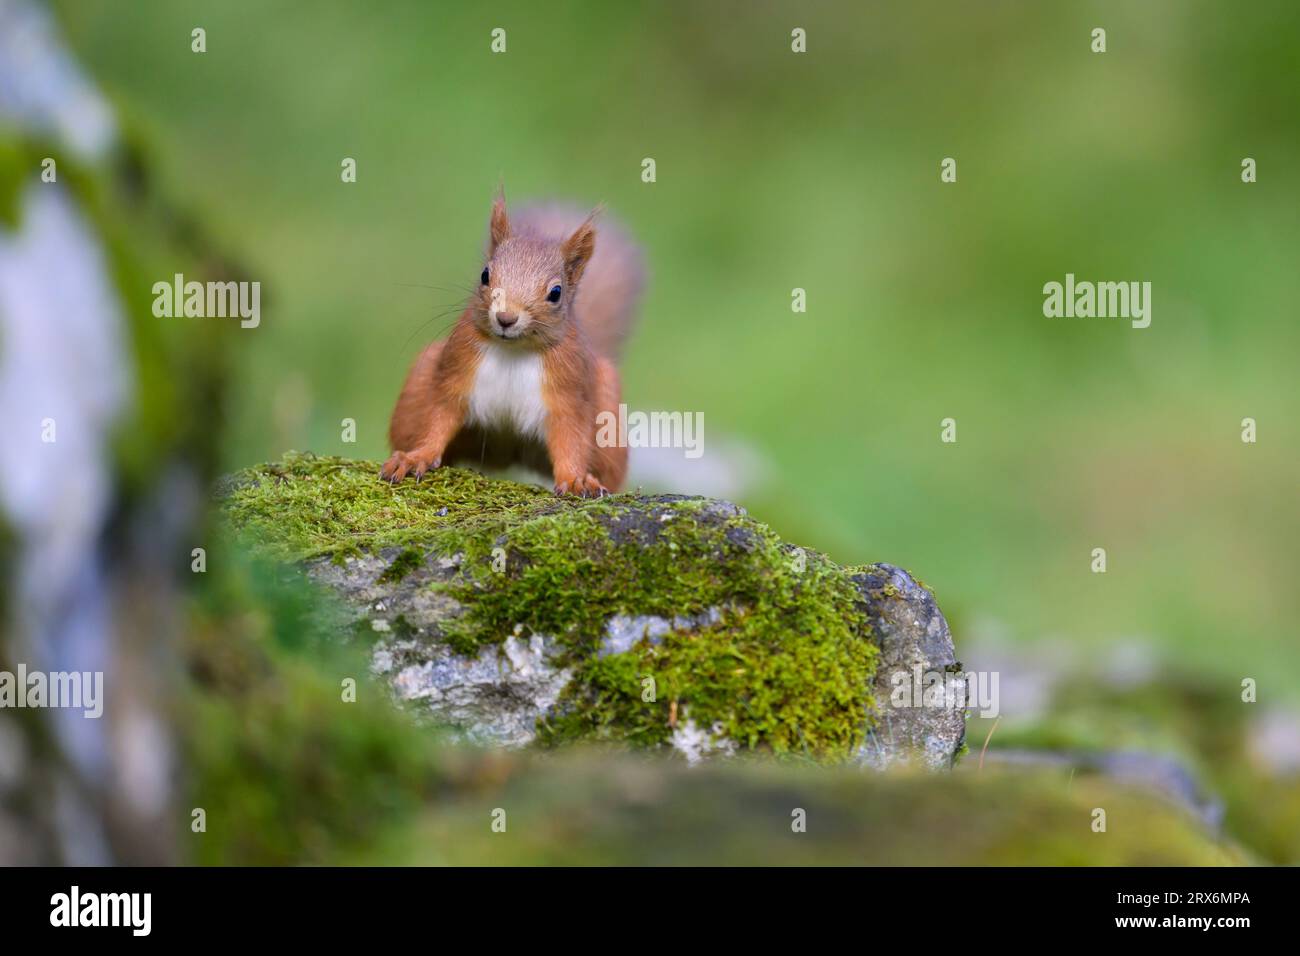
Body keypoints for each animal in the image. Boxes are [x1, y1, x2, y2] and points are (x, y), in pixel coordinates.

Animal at [382, 193, 645, 496]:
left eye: (556, 292)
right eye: (485, 274)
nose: (506, 317)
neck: (514, 350)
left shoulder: (570, 392)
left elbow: (571, 439)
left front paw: (576, 479)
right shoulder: (456, 369)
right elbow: (438, 417)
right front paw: (416, 457)